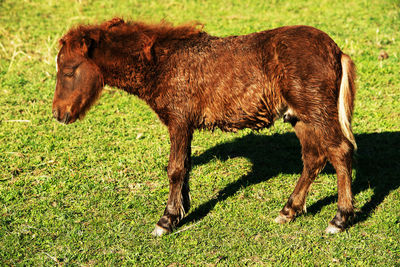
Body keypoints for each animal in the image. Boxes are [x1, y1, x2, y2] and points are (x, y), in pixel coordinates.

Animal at [52, 17, 356, 237]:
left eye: (68, 71)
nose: (58, 113)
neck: (162, 64)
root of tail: (336, 50)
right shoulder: (185, 125)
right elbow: (185, 166)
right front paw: (181, 209)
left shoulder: (179, 121)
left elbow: (175, 168)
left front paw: (167, 220)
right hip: (300, 118)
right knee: (314, 158)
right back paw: (289, 210)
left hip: (317, 113)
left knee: (340, 152)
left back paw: (339, 219)